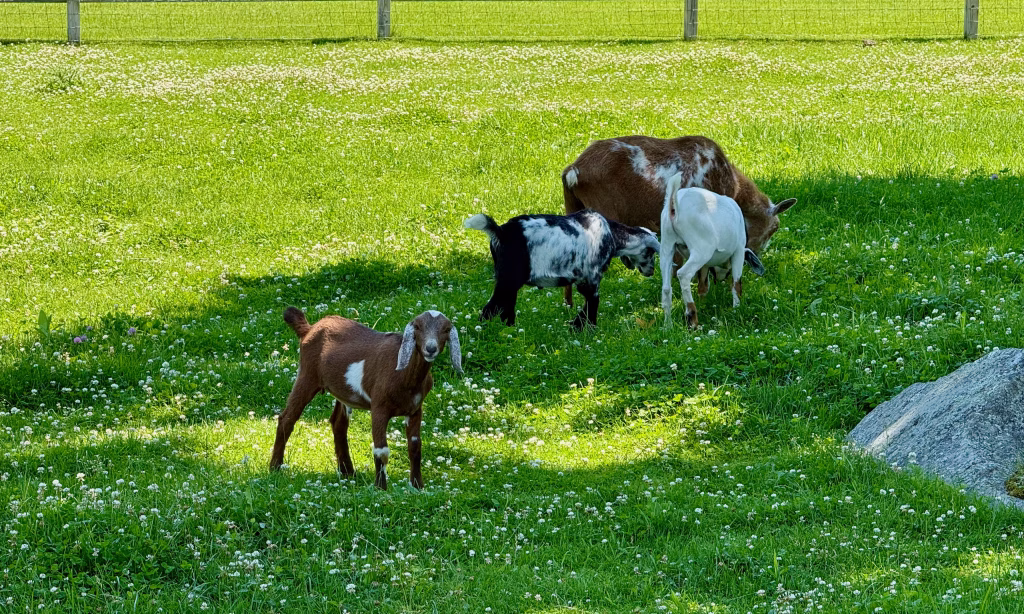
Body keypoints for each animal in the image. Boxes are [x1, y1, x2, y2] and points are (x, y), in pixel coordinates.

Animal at [270, 307, 462, 490]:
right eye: (418, 327)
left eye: (446, 329)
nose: (431, 349)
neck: (405, 377)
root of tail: (309, 329)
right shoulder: (379, 407)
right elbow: (381, 450)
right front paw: (380, 487)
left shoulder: (415, 409)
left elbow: (415, 447)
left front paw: (418, 486)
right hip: (307, 375)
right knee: (287, 418)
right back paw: (275, 467)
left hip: (342, 391)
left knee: (338, 423)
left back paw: (347, 472)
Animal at [464, 210, 660, 329]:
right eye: (651, 252)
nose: (651, 271)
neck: (612, 234)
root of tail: (501, 232)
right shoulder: (592, 277)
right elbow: (593, 302)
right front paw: (587, 328)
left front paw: (576, 326)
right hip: (509, 279)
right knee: (490, 309)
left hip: (508, 282)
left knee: (506, 308)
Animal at [562, 135, 795, 305]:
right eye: (773, 228)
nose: (755, 259)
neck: (733, 186)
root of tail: (573, 171)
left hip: (572, 209)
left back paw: (568, 306)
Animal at [659, 173, 765, 329]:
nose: (720, 278)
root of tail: (674, 205)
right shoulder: (739, 251)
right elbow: (736, 283)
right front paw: (737, 309)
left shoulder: (705, 265)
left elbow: (703, 286)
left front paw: (704, 303)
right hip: (701, 250)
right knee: (683, 274)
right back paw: (692, 320)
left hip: (667, 246)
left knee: (666, 287)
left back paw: (668, 325)